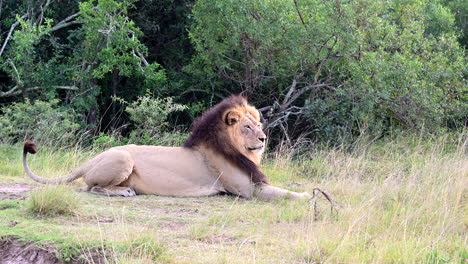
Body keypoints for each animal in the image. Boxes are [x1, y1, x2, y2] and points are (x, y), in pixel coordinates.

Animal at [23, 96, 312, 201]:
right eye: (247, 127)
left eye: (259, 124)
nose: (263, 139)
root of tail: (92, 159)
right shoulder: (247, 190)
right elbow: (287, 194)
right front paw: (315, 198)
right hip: (123, 157)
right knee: (91, 187)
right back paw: (124, 192)